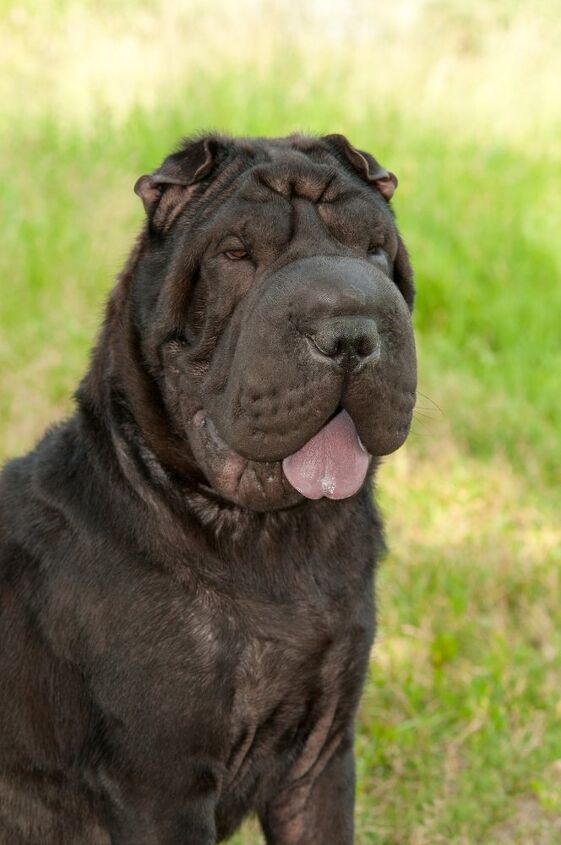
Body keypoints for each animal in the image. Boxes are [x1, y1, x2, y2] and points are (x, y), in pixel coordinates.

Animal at [0, 134, 414, 844]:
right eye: (235, 254)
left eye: (375, 250)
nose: (351, 331)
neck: (273, 539)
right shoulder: (163, 786)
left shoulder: (319, 762)